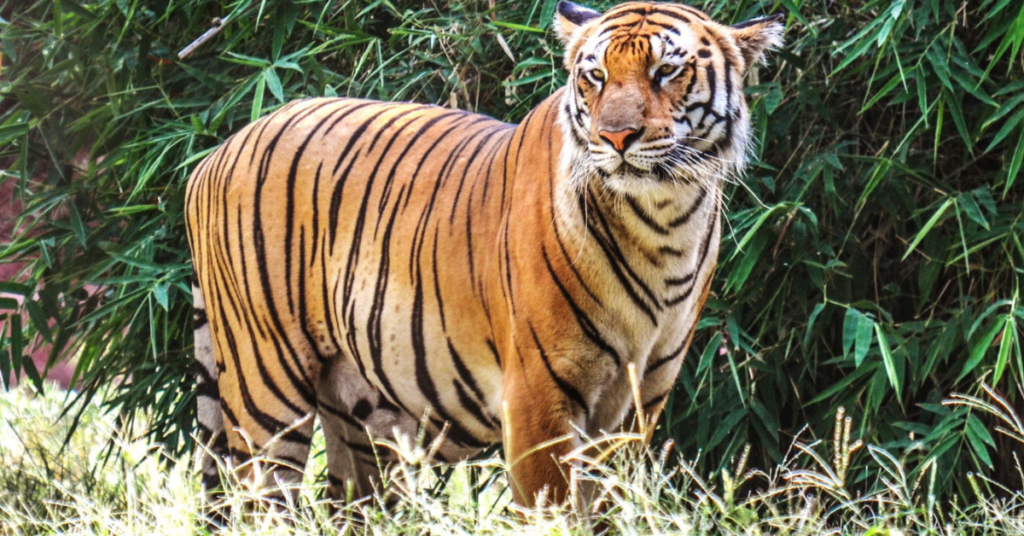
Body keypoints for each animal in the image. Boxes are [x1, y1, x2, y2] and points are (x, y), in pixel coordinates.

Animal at [185, 0, 783, 510]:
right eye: (595, 76)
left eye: (666, 72)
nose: (616, 137)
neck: (662, 223)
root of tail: (215, 153)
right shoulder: (539, 397)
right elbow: (554, 511)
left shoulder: (637, 406)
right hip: (266, 387)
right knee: (260, 501)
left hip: (364, 414)